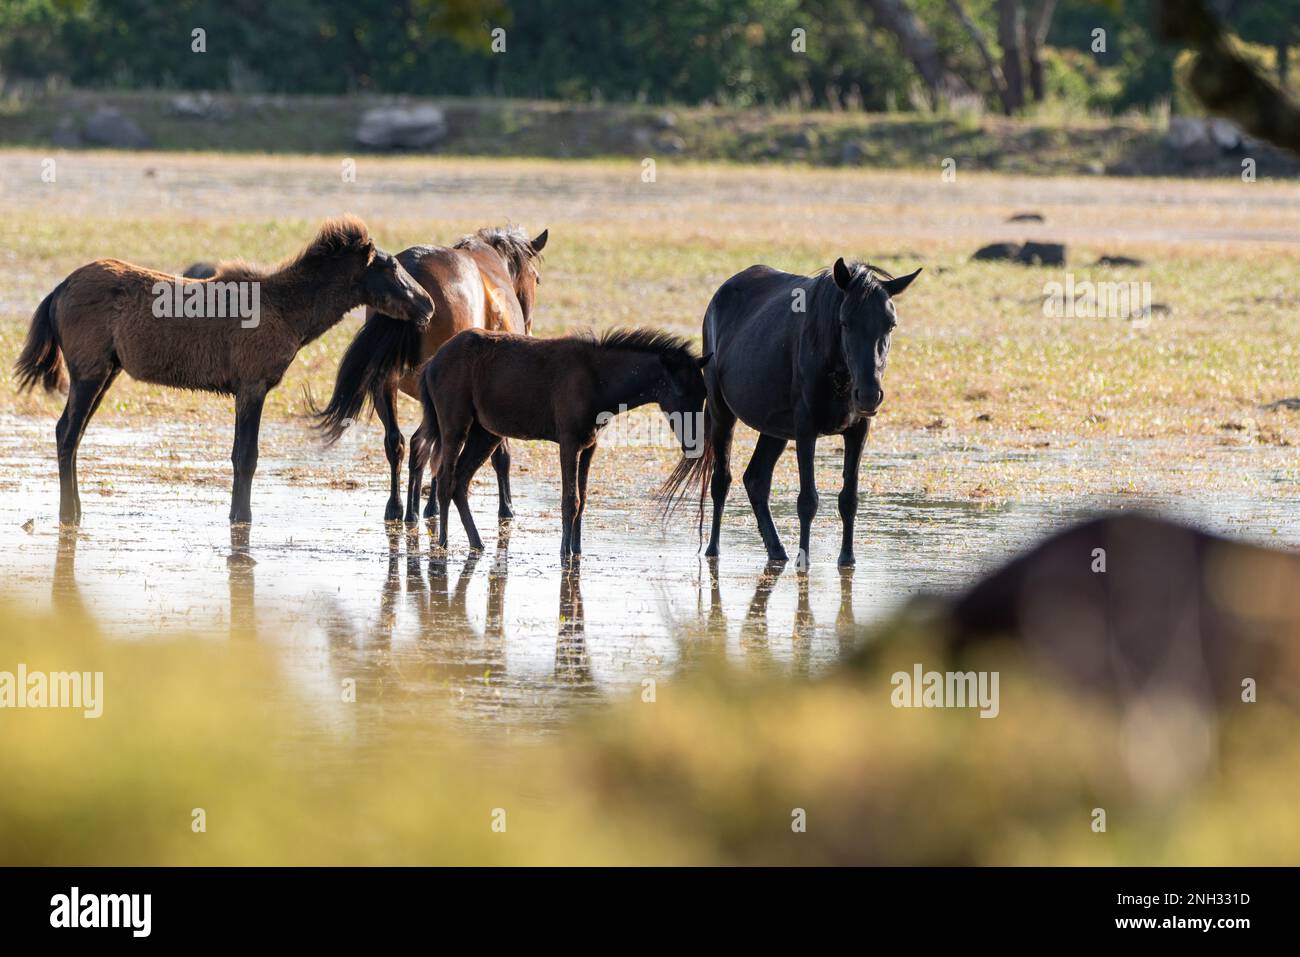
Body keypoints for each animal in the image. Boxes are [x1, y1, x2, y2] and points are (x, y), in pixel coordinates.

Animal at [16, 217, 431, 527]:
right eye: (391, 266)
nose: (427, 305)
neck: (287, 308)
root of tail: (58, 290)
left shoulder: (245, 390)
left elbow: (238, 454)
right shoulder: (252, 386)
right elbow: (246, 456)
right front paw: (242, 517)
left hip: (106, 373)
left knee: (71, 433)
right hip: (90, 372)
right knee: (67, 432)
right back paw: (69, 514)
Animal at [314, 223, 548, 522]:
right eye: (536, 279)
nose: (528, 326)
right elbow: (499, 453)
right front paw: (506, 507)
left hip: (386, 385)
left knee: (398, 442)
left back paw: (398, 508)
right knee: (430, 446)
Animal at [410, 327, 707, 556]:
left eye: (703, 393)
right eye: (682, 392)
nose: (696, 445)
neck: (598, 381)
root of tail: (431, 363)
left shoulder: (589, 446)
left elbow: (582, 500)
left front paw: (577, 551)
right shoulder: (569, 442)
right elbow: (570, 500)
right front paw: (565, 553)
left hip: (486, 434)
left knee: (460, 481)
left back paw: (477, 543)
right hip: (455, 427)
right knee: (445, 480)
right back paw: (443, 543)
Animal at [660, 254, 925, 566]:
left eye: (891, 325)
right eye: (845, 323)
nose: (869, 395)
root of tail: (720, 294)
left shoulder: (858, 429)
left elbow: (849, 498)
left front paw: (847, 559)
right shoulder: (806, 428)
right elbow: (808, 500)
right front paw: (804, 561)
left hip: (774, 428)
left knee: (756, 479)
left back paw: (776, 550)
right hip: (721, 412)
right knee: (721, 481)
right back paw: (714, 550)